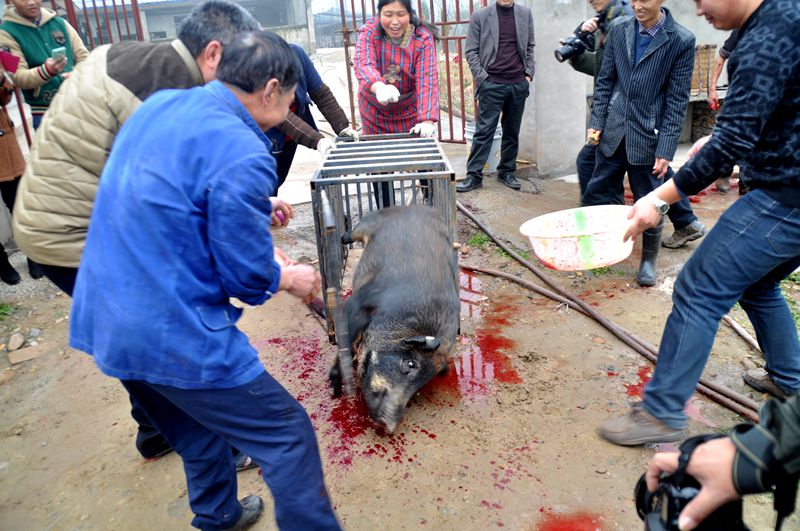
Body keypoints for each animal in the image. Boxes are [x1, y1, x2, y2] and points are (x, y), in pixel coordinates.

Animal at [330, 204, 456, 432]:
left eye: (421, 385)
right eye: (410, 364)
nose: (390, 425)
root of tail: (413, 206)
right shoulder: (360, 302)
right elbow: (346, 338)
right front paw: (335, 390)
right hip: (369, 223)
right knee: (351, 234)